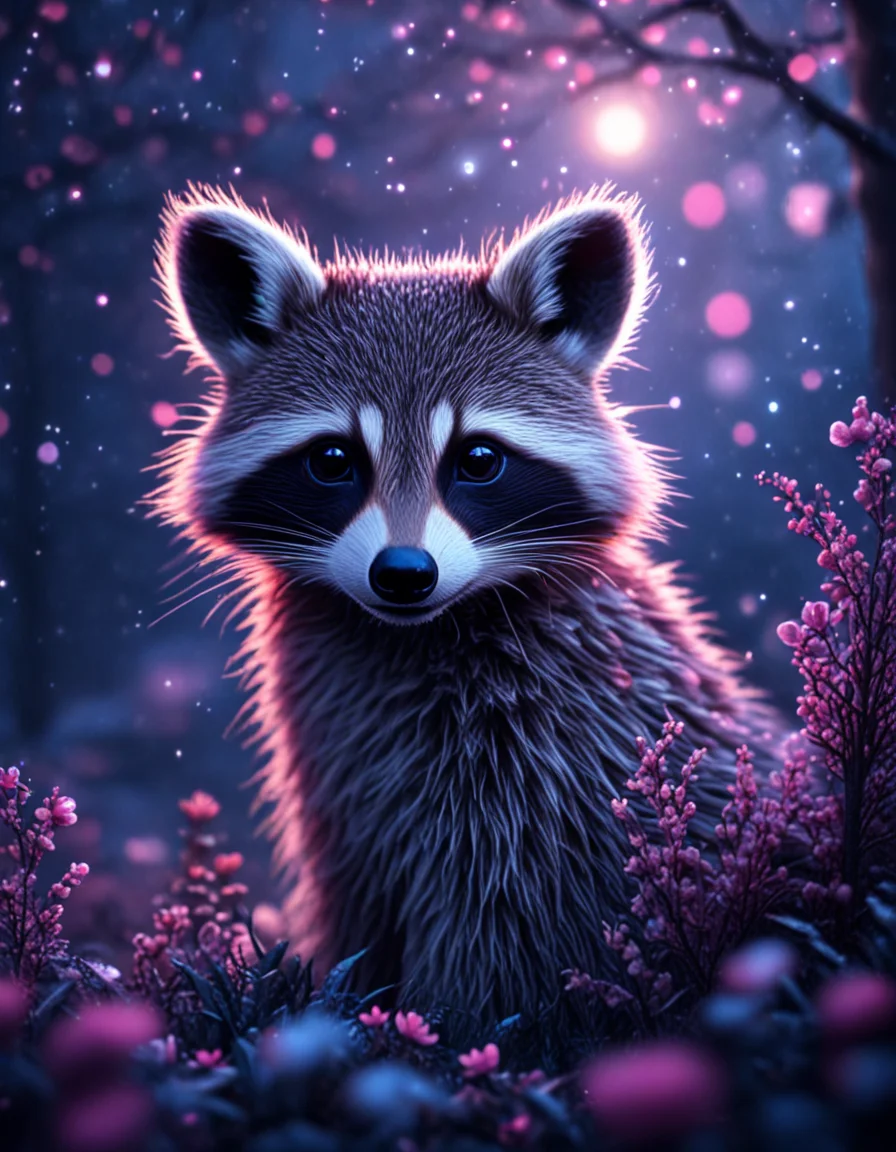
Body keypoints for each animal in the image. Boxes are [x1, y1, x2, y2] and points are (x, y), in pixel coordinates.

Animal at [151, 183, 769, 1029]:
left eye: (477, 459)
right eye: (333, 459)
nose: (404, 574)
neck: (411, 633)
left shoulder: (544, 756)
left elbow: (497, 915)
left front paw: (446, 1023)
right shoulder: (341, 775)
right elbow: (361, 892)